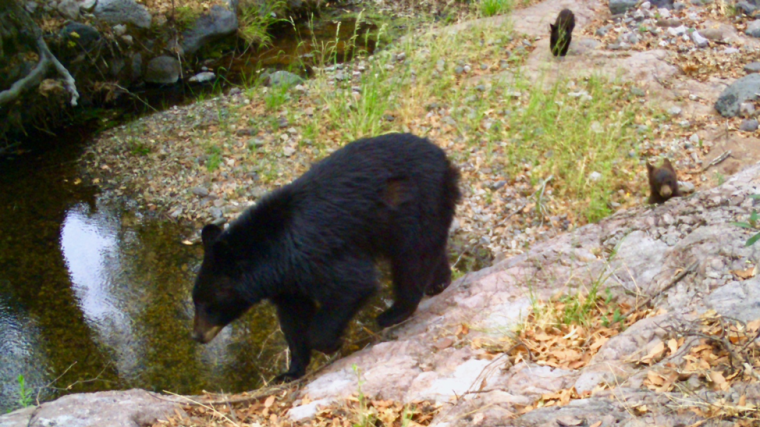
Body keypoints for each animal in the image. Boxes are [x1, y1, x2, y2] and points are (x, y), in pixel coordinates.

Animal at [193, 133, 460, 382]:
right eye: (196, 301)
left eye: (207, 305)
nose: (196, 335)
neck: (272, 255)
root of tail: (443, 157)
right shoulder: (287, 284)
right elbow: (293, 319)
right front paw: (291, 371)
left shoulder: (313, 255)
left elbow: (352, 284)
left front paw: (332, 343)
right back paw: (439, 282)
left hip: (415, 205)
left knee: (413, 257)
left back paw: (394, 313)